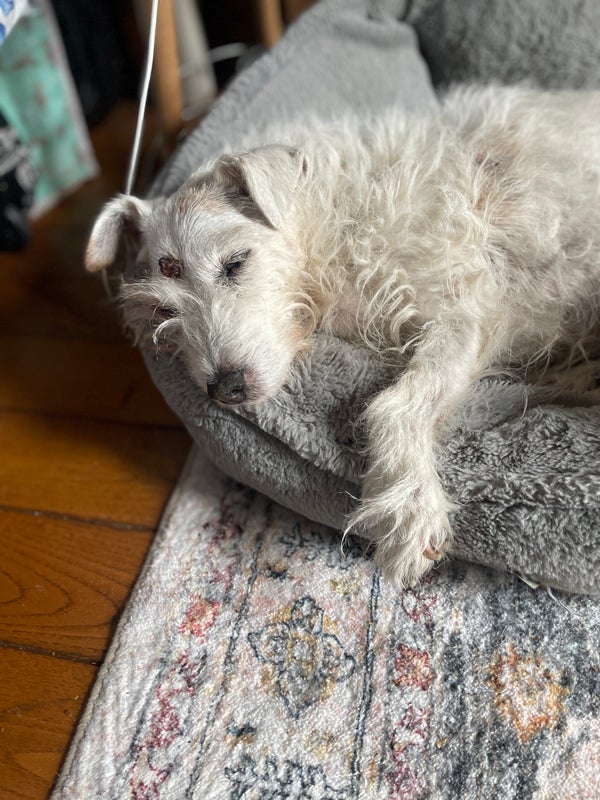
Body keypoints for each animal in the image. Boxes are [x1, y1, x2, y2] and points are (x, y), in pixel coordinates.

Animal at [85, 85, 600, 588]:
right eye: (163, 310)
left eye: (235, 263)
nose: (225, 388)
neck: (335, 226)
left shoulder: (462, 311)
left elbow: (400, 402)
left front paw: (409, 503)